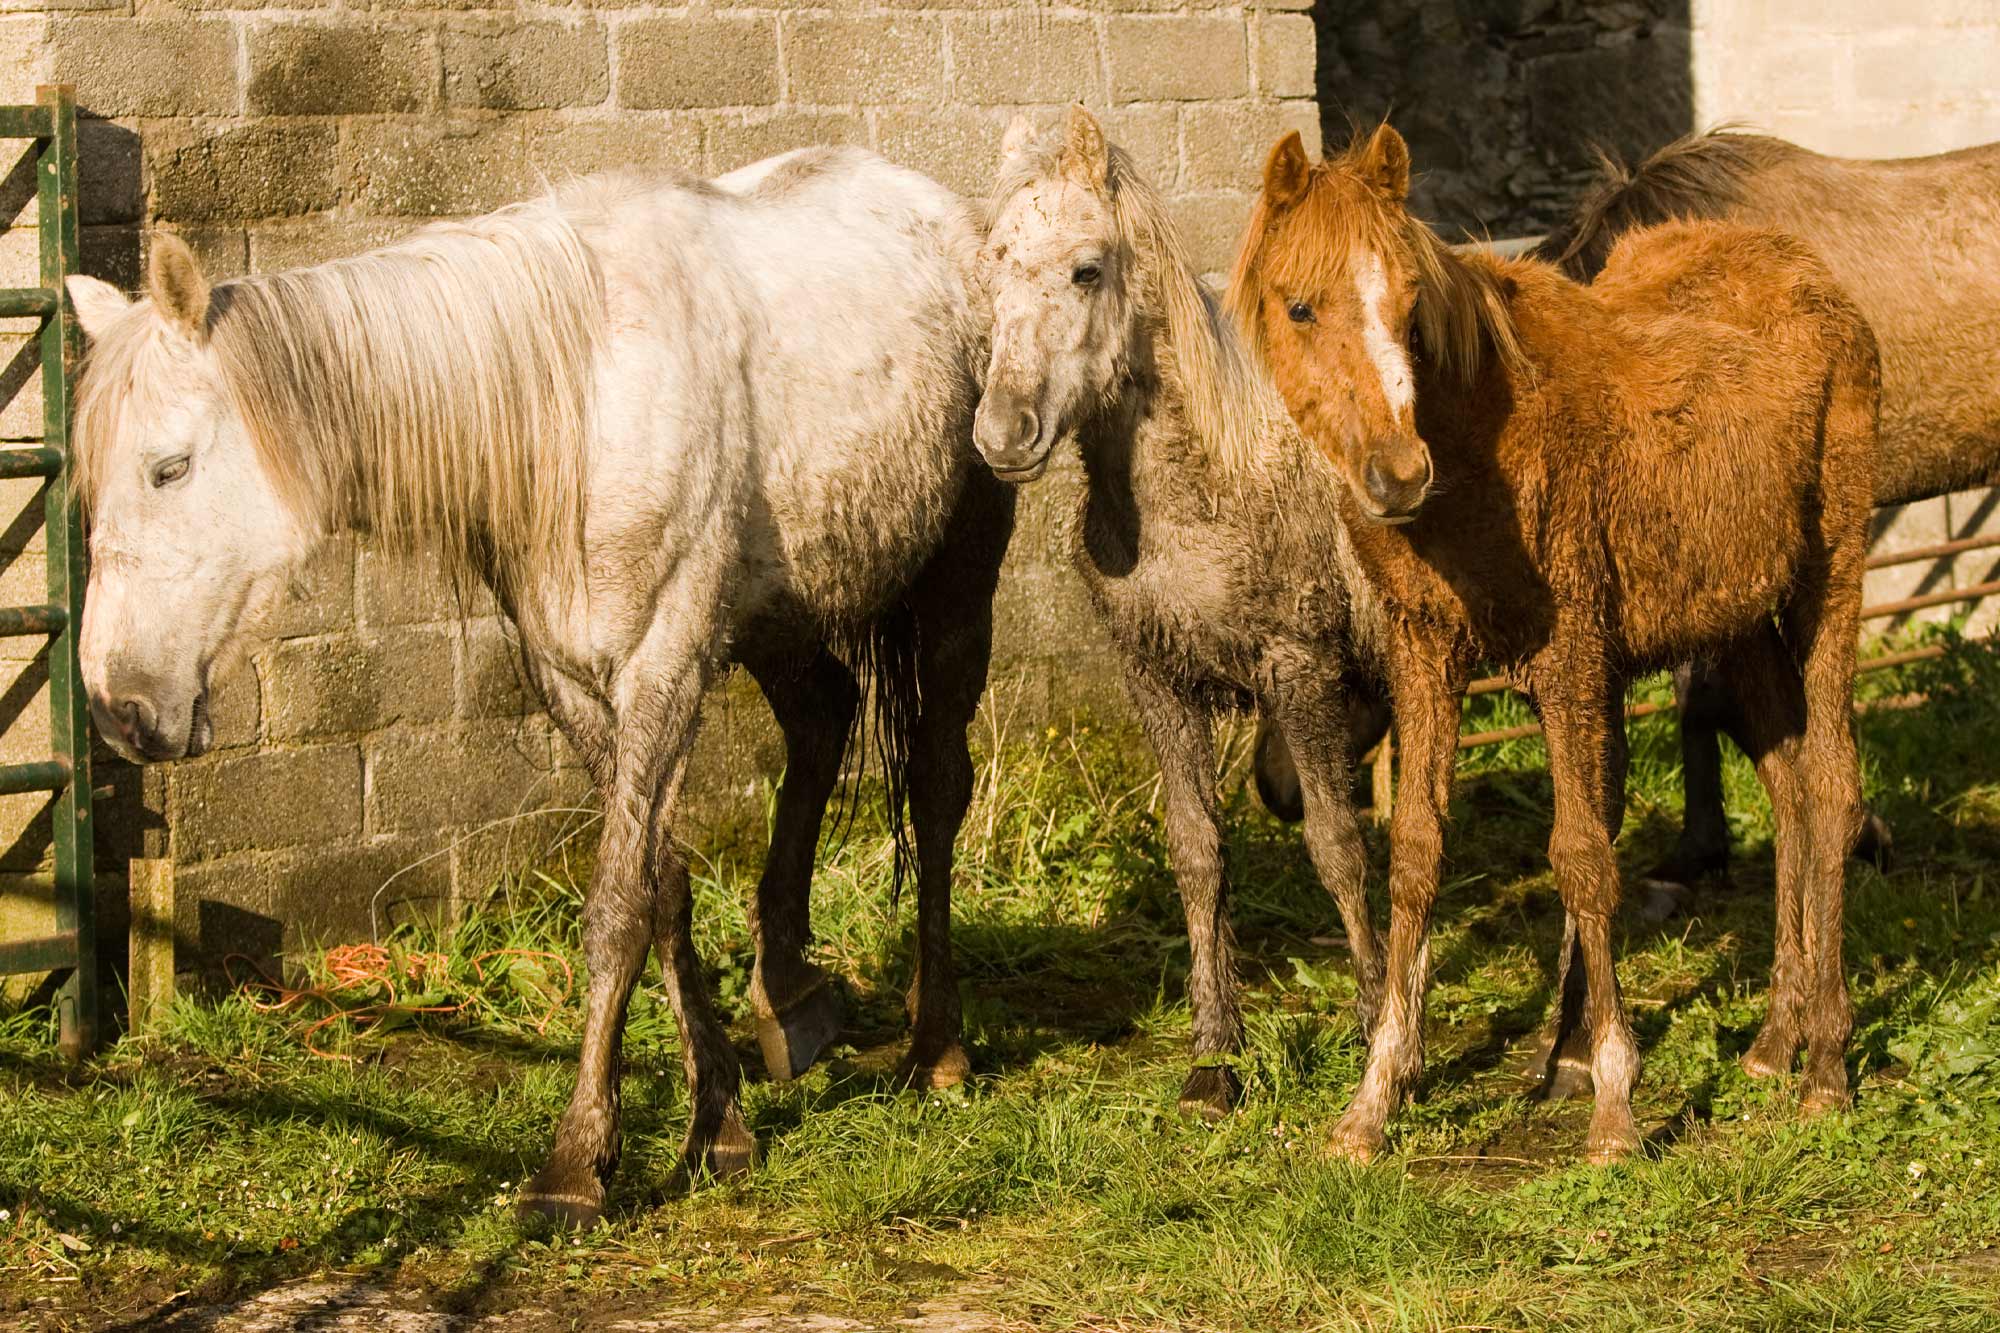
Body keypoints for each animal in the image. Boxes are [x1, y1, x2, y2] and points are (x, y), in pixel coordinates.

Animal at [64, 150, 1016, 1216]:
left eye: (169, 467)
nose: (119, 706)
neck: (580, 400)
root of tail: (947, 212)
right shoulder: (571, 678)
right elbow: (666, 885)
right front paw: (719, 1124)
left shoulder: (663, 663)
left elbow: (617, 906)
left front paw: (578, 1162)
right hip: (775, 612)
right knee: (822, 719)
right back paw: (791, 996)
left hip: (955, 581)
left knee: (935, 786)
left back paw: (937, 1046)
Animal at [1224, 127, 1880, 1160]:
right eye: (1299, 306)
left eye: (1409, 305)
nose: (1398, 475)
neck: (1482, 446)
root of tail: (1809, 273)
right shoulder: (1426, 652)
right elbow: (1416, 849)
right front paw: (1375, 1099)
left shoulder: (1571, 653)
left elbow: (1581, 853)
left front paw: (1612, 1104)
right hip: (1736, 610)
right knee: (1788, 783)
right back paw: (1778, 1039)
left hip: (1831, 574)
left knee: (1832, 787)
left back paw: (1826, 1066)